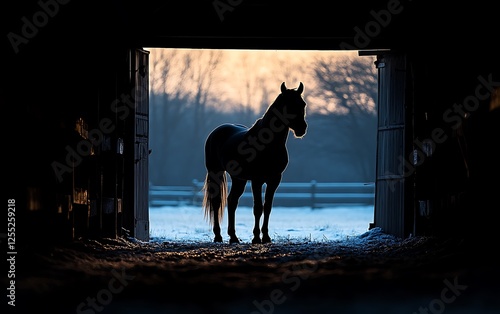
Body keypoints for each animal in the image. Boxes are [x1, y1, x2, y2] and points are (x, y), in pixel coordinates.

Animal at [202, 81, 306, 243]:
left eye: (302, 104)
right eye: (288, 105)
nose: (302, 128)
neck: (269, 145)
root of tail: (216, 132)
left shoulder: (274, 179)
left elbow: (267, 207)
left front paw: (266, 237)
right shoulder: (257, 180)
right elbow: (258, 208)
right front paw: (256, 237)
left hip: (238, 178)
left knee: (232, 201)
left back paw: (233, 237)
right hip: (215, 172)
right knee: (217, 202)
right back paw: (218, 236)